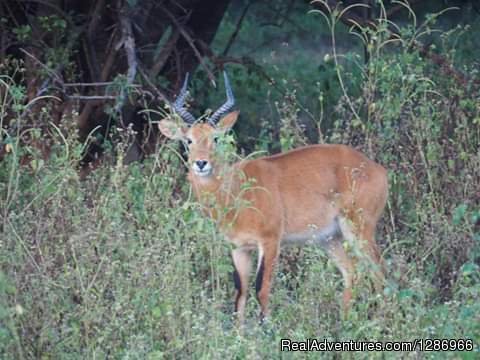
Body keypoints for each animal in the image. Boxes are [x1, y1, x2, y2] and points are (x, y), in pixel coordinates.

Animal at [159, 71, 388, 324]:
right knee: (352, 272)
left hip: (359, 230)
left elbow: (261, 288)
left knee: (380, 272)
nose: (201, 163)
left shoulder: (270, 241)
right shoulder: (239, 248)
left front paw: (267, 328)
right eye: (188, 139)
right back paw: (345, 322)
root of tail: (378, 169)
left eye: (216, 138)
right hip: (329, 238)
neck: (236, 192)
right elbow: (240, 293)